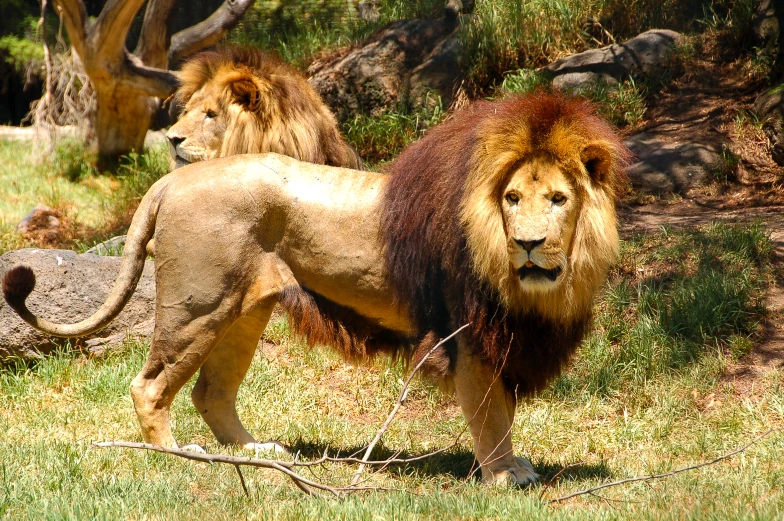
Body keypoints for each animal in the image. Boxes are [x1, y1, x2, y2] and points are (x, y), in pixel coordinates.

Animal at [4, 91, 632, 486]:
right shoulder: (471, 332)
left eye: (558, 199)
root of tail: (172, 179)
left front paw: (511, 467)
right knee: (150, 385)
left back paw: (255, 453)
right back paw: (178, 456)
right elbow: (490, 411)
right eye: (512, 198)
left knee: (210, 391)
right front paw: (502, 474)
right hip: (197, 304)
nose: (528, 243)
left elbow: (502, 407)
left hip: (242, 311)